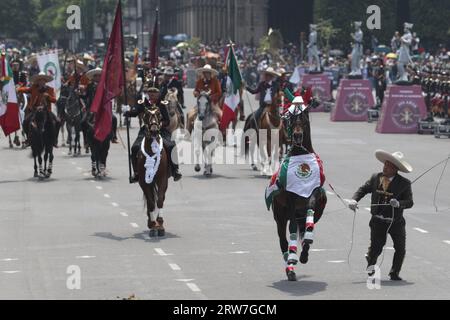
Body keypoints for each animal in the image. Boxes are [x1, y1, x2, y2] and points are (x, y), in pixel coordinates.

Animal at [268, 104, 326, 282]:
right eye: (291, 120)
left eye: (305, 120)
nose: (297, 135)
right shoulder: (290, 196)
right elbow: (292, 226)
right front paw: (293, 260)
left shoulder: (313, 190)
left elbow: (311, 206)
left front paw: (307, 242)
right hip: (279, 216)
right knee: (283, 240)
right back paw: (290, 266)